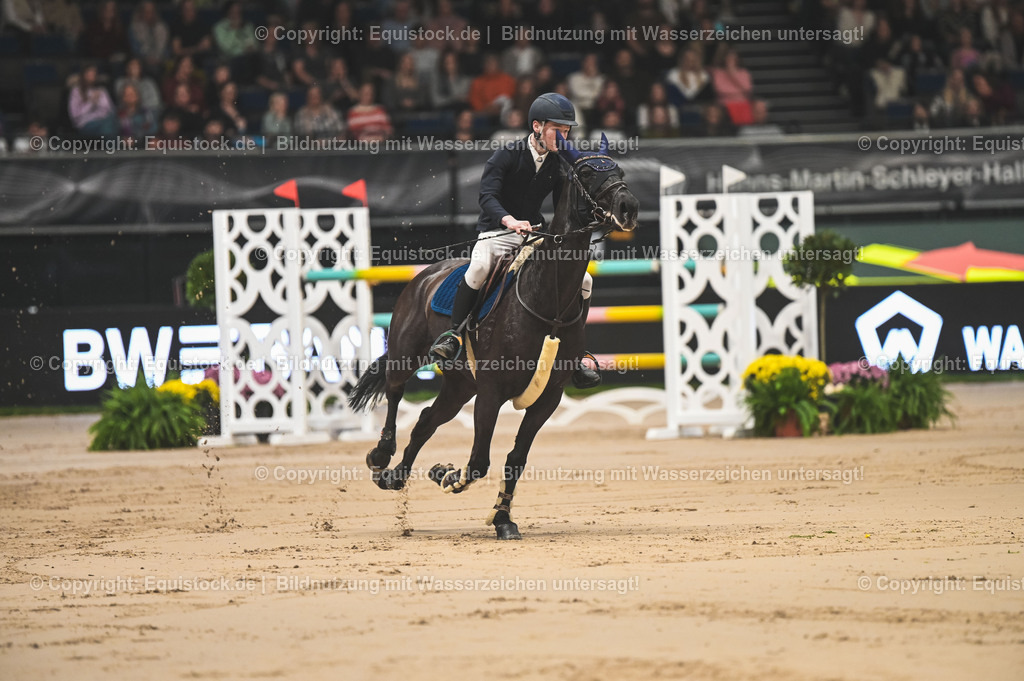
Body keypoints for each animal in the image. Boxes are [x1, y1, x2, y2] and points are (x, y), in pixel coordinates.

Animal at [347, 133, 640, 540]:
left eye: (619, 171)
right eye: (586, 173)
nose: (629, 207)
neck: (547, 300)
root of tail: (427, 274)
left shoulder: (547, 397)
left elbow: (515, 459)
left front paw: (501, 518)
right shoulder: (490, 392)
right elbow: (478, 462)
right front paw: (448, 477)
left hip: (459, 386)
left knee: (425, 421)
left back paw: (395, 477)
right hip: (408, 354)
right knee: (394, 392)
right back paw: (381, 455)